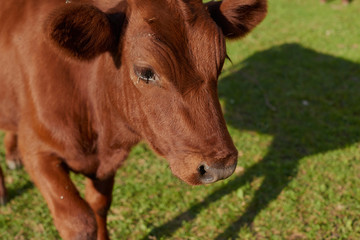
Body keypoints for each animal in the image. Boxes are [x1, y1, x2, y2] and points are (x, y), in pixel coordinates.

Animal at [0, 0, 264, 239]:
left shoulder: (106, 164)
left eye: (221, 62)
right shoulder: (36, 150)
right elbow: (78, 221)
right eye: (145, 72)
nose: (220, 166)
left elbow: (100, 205)